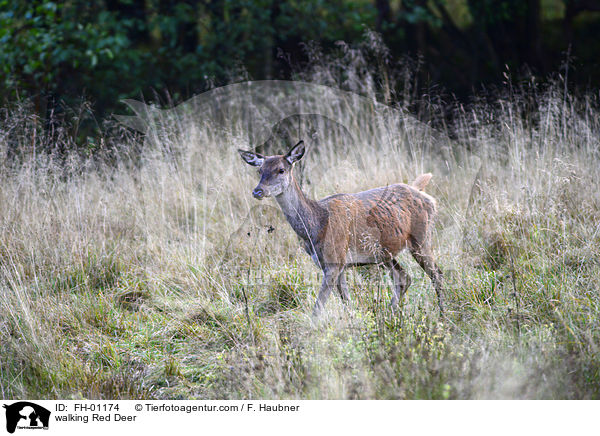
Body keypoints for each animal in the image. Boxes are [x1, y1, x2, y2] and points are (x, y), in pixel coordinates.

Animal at [237, 141, 442, 316]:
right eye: (260, 170)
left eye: (281, 170)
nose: (258, 191)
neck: (316, 226)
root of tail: (427, 196)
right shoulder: (334, 263)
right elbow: (347, 302)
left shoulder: (334, 260)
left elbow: (318, 308)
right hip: (383, 254)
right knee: (404, 277)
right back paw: (388, 315)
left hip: (422, 238)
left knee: (437, 275)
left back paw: (442, 313)